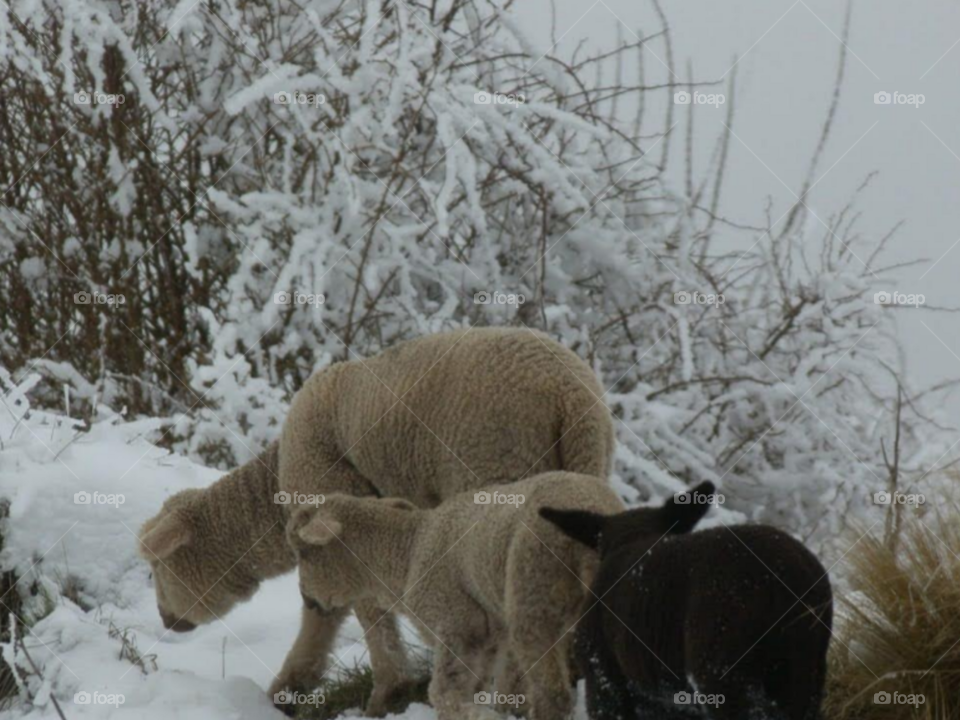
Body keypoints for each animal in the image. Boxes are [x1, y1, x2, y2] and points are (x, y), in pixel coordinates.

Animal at [288, 472, 628, 720]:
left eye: (303, 552)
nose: (305, 599)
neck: (407, 554)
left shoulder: (457, 625)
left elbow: (442, 693)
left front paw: (481, 716)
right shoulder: (488, 638)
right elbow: (476, 687)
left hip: (535, 595)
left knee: (554, 696)